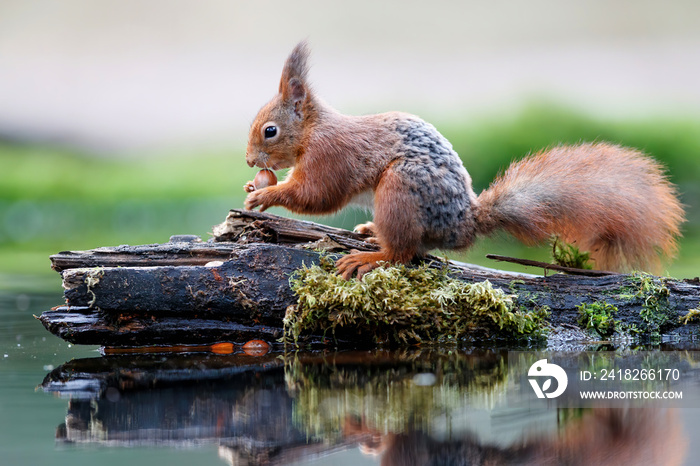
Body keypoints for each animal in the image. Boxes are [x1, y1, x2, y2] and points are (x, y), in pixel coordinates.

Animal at [243, 41, 688, 278]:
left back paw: (371, 255)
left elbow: (317, 195)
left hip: (400, 188)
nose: (249, 162)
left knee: (402, 252)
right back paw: (371, 231)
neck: (312, 132)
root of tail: (463, 223)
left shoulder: (331, 156)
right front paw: (254, 187)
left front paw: (265, 195)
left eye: (270, 131)